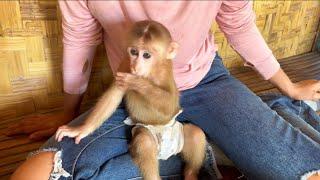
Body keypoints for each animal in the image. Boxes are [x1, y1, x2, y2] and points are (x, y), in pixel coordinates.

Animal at [56, 20, 206, 179]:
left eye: (146, 55)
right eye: (134, 52)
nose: (136, 65)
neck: (150, 72)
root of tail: (166, 155)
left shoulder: (164, 73)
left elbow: (170, 106)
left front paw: (136, 83)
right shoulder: (124, 63)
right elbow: (113, 96)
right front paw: (82, 129)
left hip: (176, 133)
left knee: (195, 134)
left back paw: (190, 173)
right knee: (145, 141)